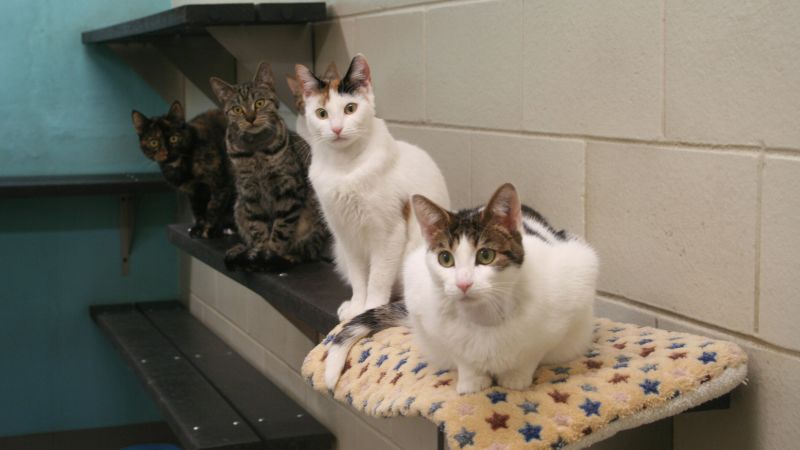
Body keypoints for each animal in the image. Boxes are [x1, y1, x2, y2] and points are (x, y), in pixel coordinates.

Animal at [131, 100, 234, 237]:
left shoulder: (220, 183)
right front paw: (198, 228)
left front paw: (208, 230)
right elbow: (198, 211)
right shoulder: (194, 191)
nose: (166, 152)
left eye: (174, 139)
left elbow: (214, 207)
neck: (182, 166)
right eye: (154, 142)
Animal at [209, 60, 332, 270]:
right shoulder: (249, 194)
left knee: (305, 250)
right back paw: (242, 249)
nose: (250, 118)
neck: (256, 150)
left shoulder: (289, 189)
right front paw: (258, 251)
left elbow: (281, 229)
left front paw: (270, 254)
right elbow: (257, 228)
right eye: (237, 109)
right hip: (239, 206)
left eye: (259, 103)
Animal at [296, 54, 454, 320]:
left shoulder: (389, 233)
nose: (336, 129)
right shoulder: (345, 235)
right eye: (321, 113)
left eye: (350, 109)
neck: (344, 168)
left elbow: (378, 279)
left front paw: (370, 309)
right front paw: (356, 306)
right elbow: (360, 278)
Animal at [322, 183, 596, 394]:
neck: (484, 317)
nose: (463, 283)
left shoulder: (563, 308)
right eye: (445, 259)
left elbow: (532, 353)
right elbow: (461, 356)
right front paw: (472, 382)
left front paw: (516, 379)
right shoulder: (428, 314)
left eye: (486, 255)